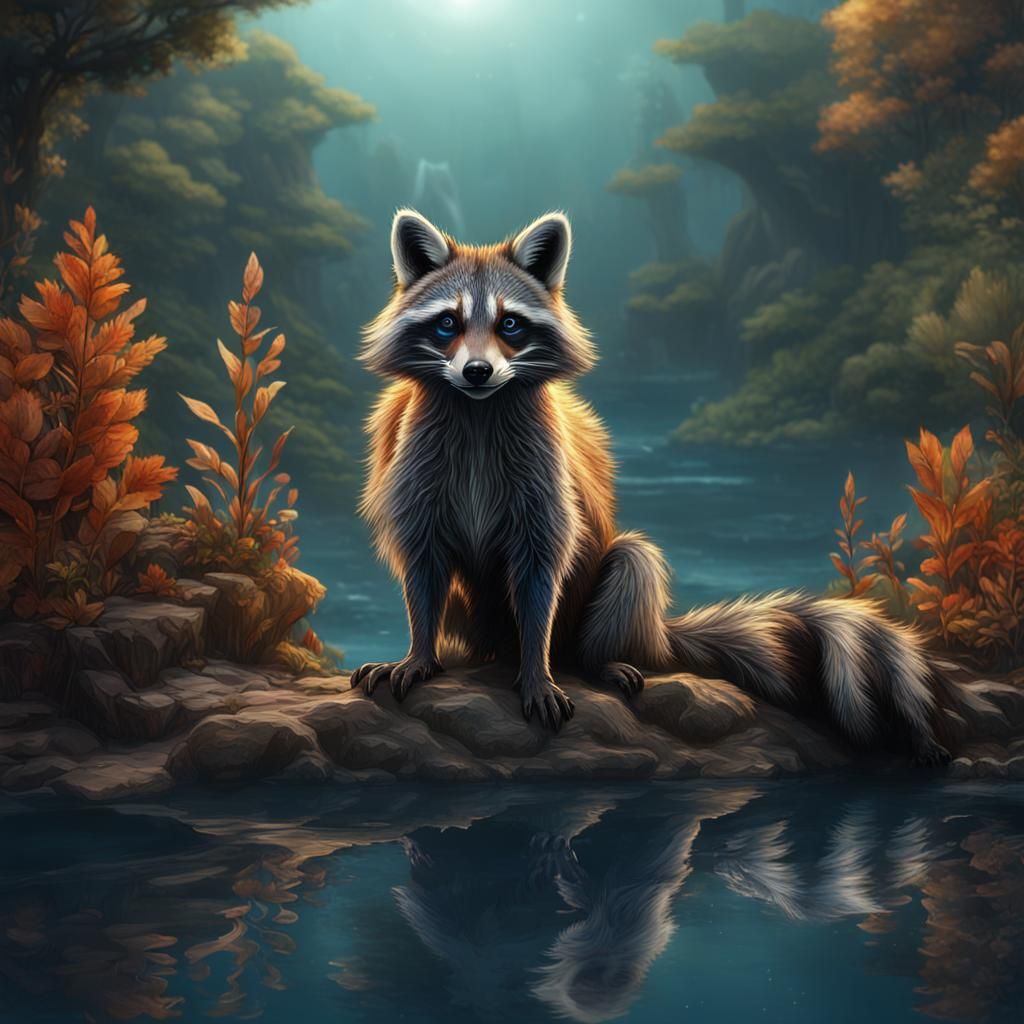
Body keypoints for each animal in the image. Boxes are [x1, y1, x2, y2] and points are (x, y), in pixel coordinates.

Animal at [352, 208, 959, 764]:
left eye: (511, 325)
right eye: (447, 323)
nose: (477, 372)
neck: (478, 409)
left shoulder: (545, 476)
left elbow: (542, 568)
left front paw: (537, 670)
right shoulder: (413, 462)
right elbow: (422, 564)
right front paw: (420, 651)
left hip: (601, 595)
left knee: (632, 563)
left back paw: (590, 661)